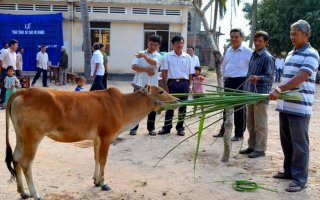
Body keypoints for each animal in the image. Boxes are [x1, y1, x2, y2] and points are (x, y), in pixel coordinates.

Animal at [5, 85, 176, 200]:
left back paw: (23, 192)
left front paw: (96, 180)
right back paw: (35, 194)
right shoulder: (107, 137)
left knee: (15, 158)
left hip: (21, 136)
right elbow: (103, 159)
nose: (177, 99)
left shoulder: (97, 138)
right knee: (26, 163)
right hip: (33, 138)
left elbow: (96, 158)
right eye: (160, 91)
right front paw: (104, 183)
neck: (122, 105)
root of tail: (23, 91)